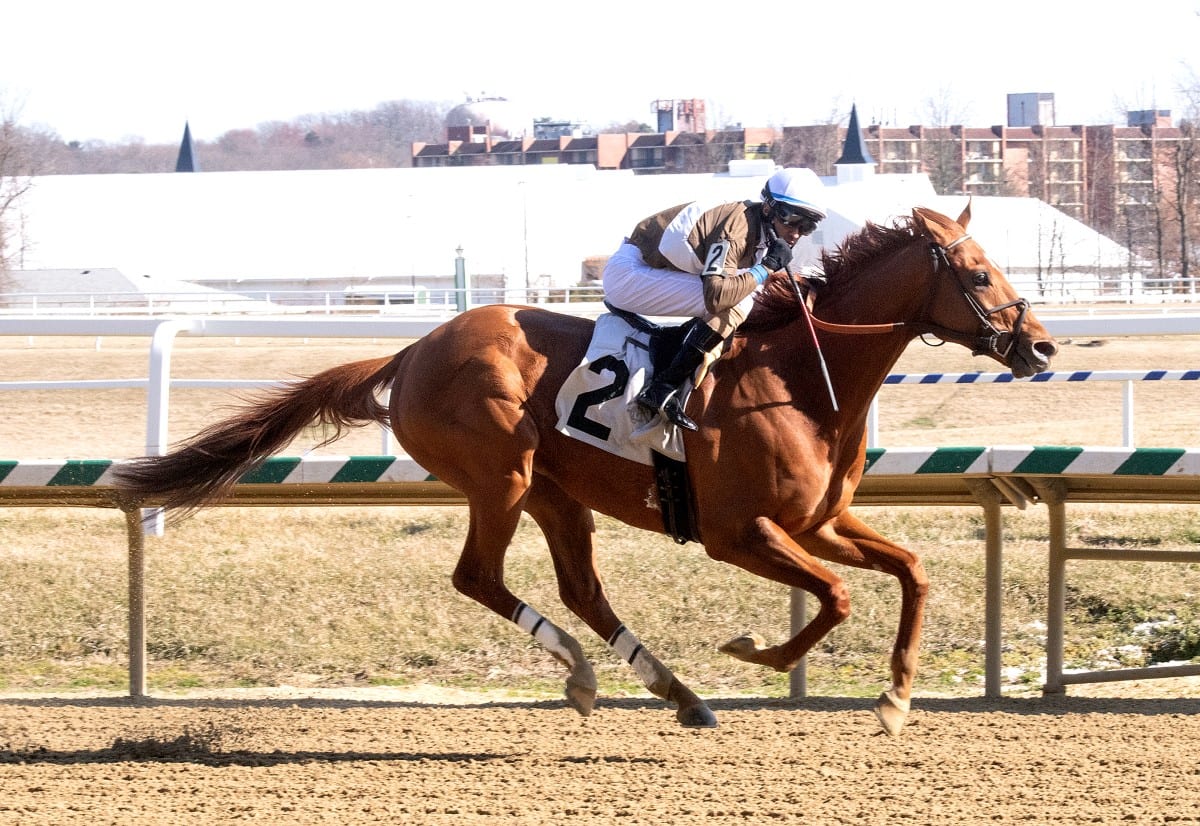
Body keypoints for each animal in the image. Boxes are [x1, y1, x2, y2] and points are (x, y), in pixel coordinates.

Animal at [110, 205, 1051, 734]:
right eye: (976, 273)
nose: (1039, 346)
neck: (795, 375)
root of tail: (412, 350)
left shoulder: (820, 521)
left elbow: (911, 571)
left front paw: (894, 699)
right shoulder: (740, 533)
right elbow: (839, 596)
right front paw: (757, 651)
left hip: (557, 494)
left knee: (580, 590)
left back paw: (674, 692)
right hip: (502, 477)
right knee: (480, 577)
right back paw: (587, 673)